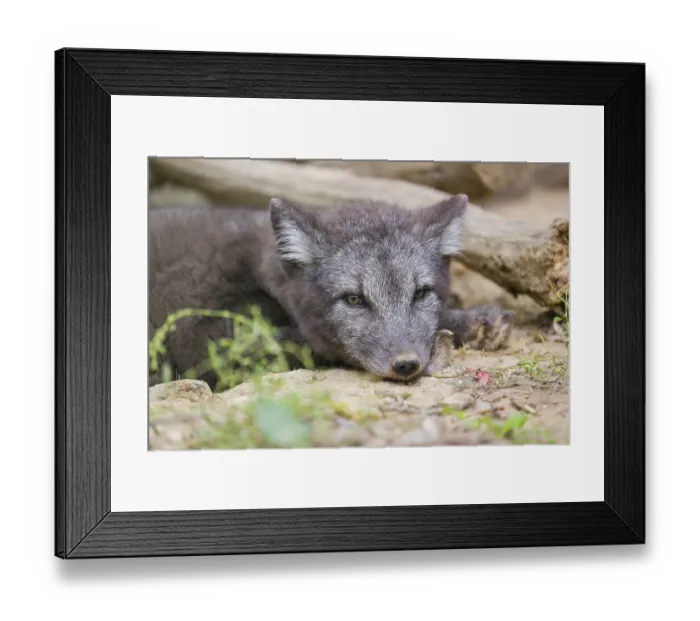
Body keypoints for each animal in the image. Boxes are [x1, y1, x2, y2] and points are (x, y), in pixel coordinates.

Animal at [148, 194, 515, 389]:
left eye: (421, 293)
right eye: (354, 299)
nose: (407, 364)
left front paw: (476, 321)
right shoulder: (203, 342)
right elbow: (310, 344)